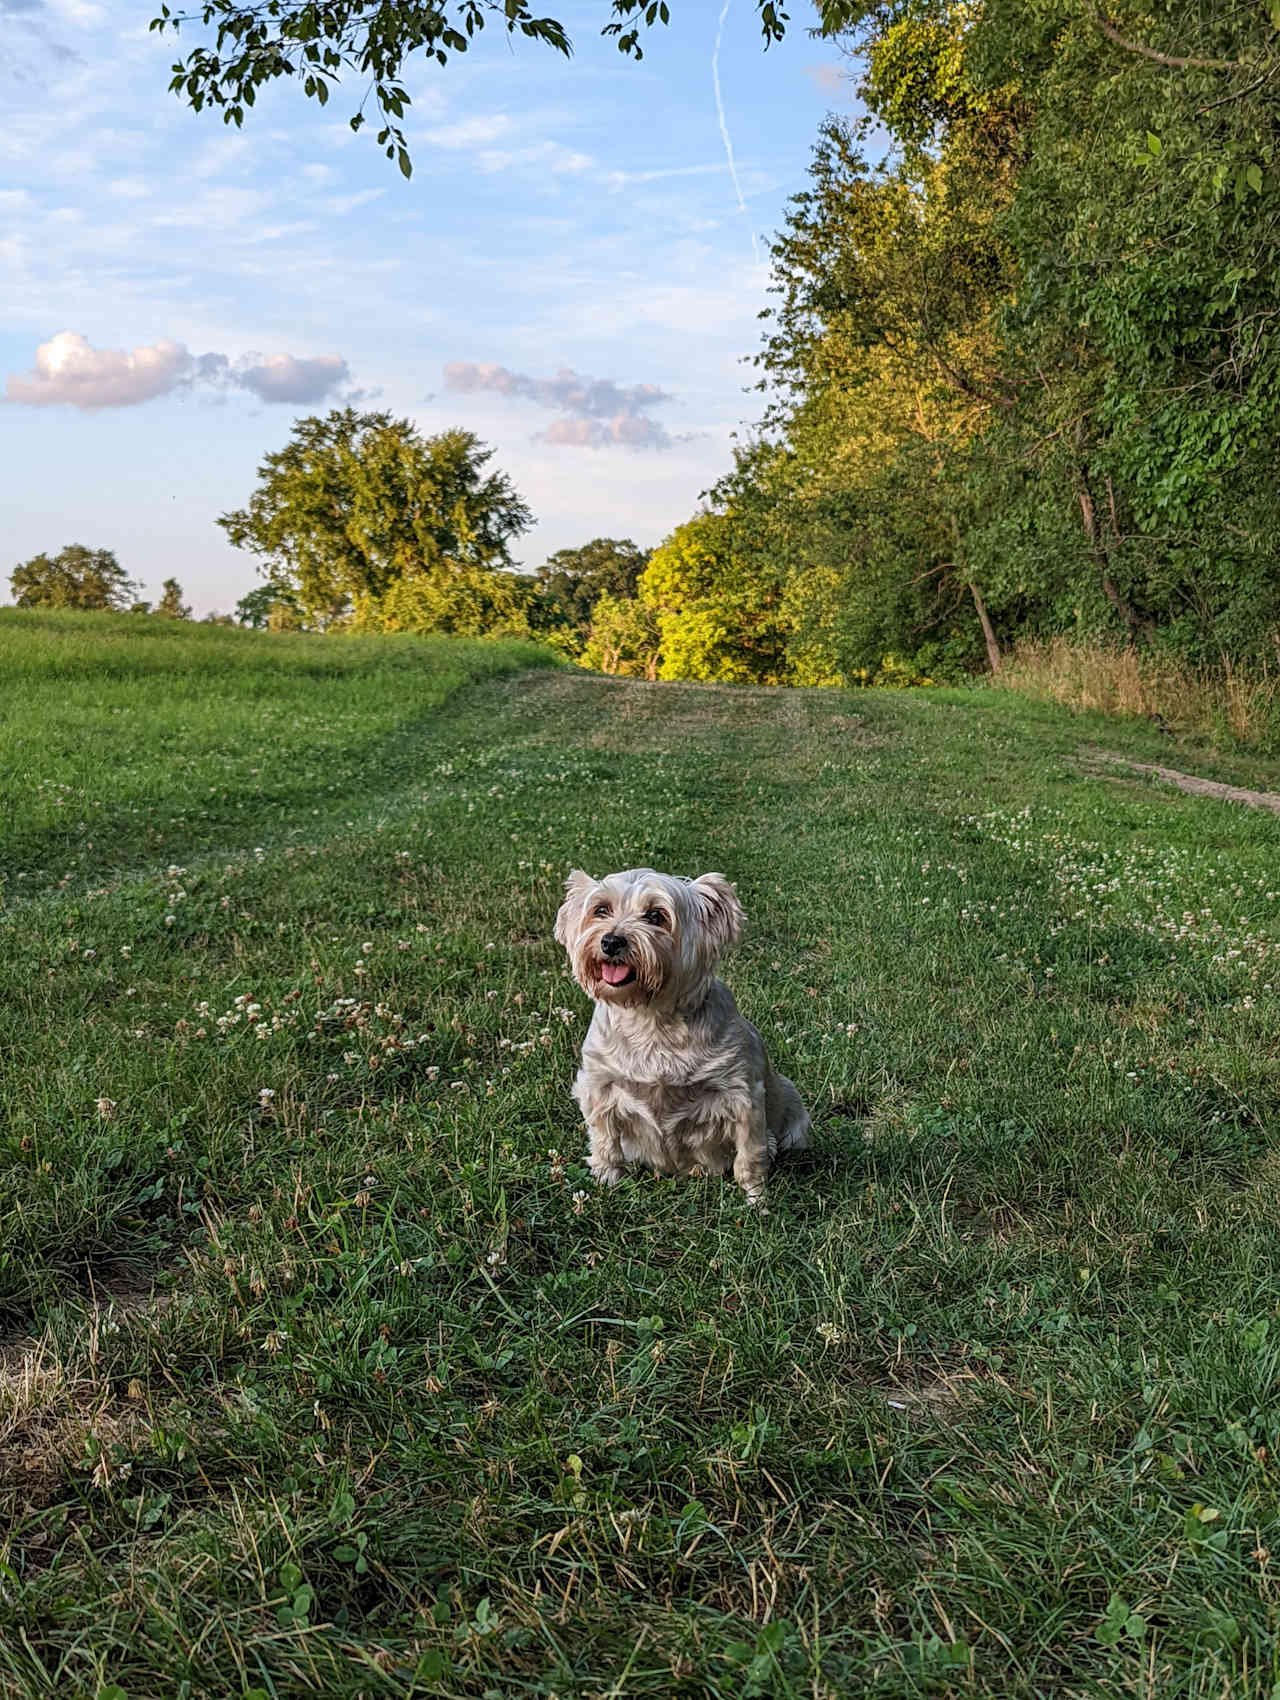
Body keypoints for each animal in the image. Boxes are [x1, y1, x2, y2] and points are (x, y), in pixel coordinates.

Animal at [550, 863, 809, 1210]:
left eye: (656, 915)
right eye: (601, 909)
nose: (611, 941)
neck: (650, 1020)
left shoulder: (742, 1096)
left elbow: (749, 1154)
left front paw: (756, 1199)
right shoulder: (599, 1086)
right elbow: (605, 1141)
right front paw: (607, 1178)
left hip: (792, 1106)